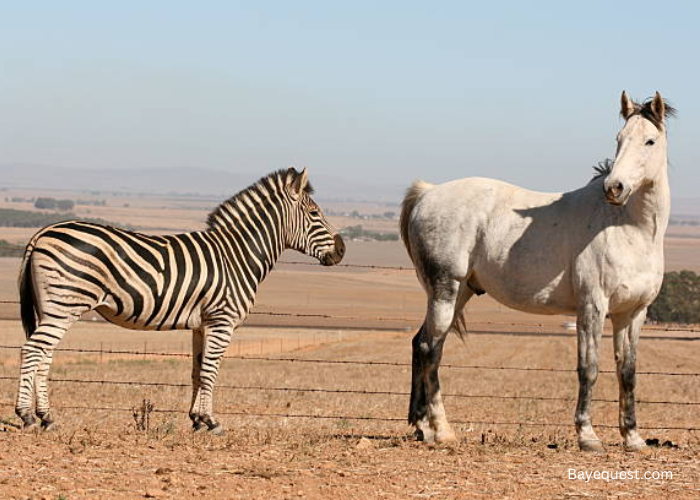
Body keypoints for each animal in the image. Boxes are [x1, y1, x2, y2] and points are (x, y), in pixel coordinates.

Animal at [15, 167, 345, 433]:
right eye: (315, 214)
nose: (342, 250)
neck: (237, 255)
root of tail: (43, 231)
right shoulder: (222, 321)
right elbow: (211, 369)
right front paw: (212, 422)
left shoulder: (202, 324)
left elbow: (197, 370)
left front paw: (196, 420)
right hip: (64, 305)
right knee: (32, 350)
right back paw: (26, 416)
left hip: (51, 308)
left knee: (44, 354)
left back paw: (46, 417)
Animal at [400, 92, 675, 452]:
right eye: (619, 139)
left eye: (649, 141)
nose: (614, 188)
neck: (628, 228)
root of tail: (428, 192)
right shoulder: (593, 307)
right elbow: (589, 368)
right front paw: (587, 436)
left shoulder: (632, 313)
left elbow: (627, 372)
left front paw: (633, 437)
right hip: (445, 290)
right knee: (431, 351)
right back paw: (443, 431)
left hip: (458, 293)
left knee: (423, 344)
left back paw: (423, 427)